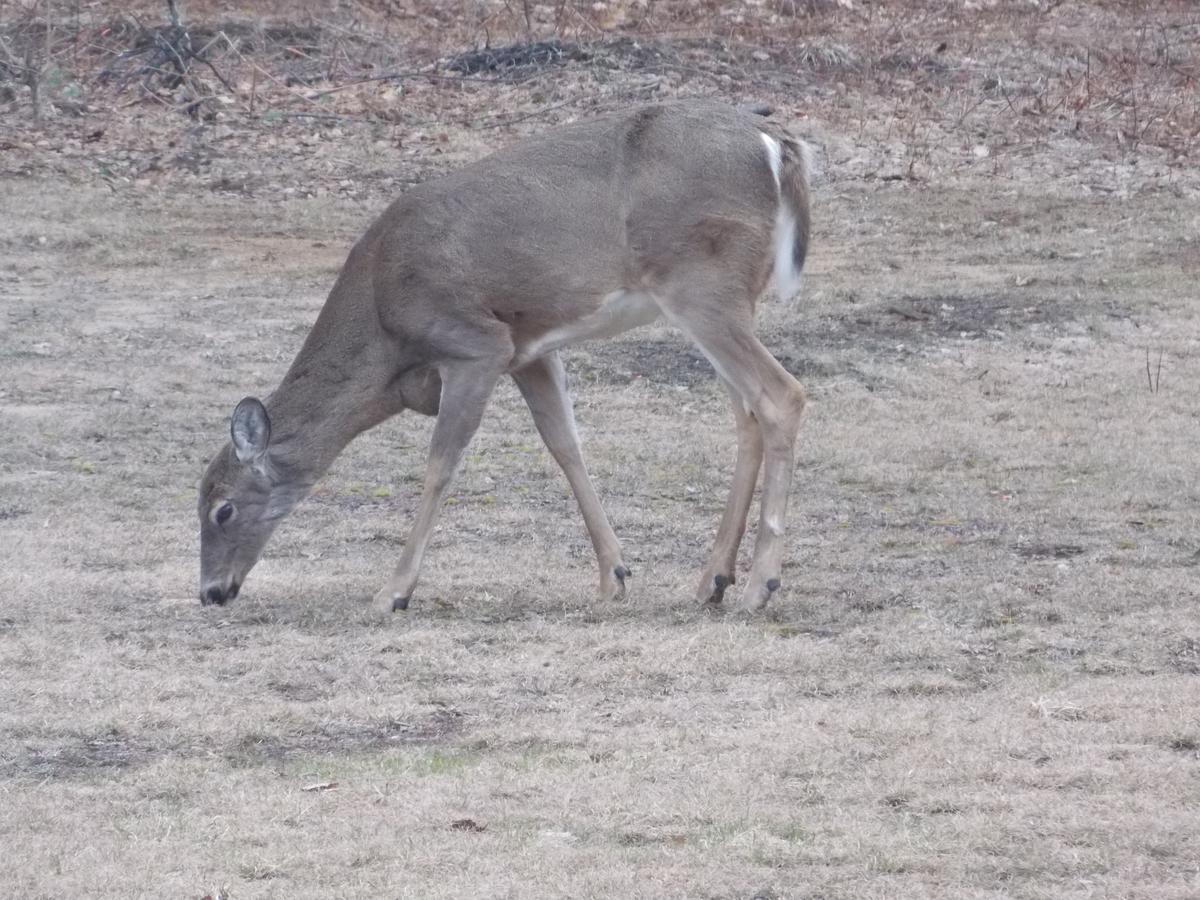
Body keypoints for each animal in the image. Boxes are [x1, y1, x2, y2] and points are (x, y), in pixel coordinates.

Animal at [199, 100, 816, 619]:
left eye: (222, 509)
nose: (210, 592)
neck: (385, 337)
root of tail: (775, 143)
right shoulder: (528, 352)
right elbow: (565, 445)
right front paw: (613, 576)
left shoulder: (475, 344)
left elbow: (440, 465)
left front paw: (393, 591)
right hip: (725, 296)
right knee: (747, 414)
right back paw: (713, 579)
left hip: (698, 284)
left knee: (781, 394)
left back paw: (759, 586)